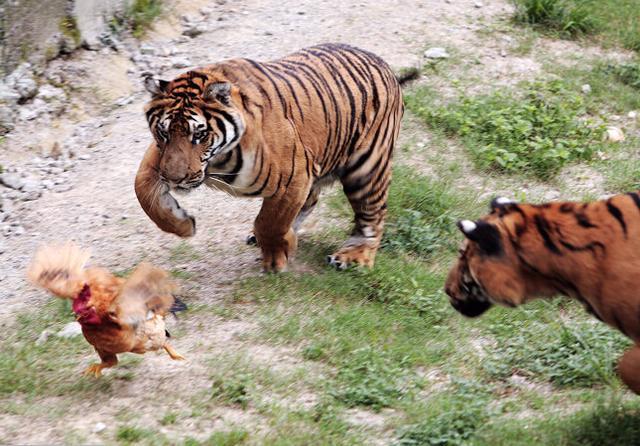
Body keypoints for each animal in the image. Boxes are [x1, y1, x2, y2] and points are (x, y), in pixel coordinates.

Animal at [135, 42, 420, 272]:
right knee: (312, 201)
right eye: (163, 133)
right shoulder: (159, 157)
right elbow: (142, 189)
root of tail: (386, 68)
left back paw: (353, 256)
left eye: (199, 135)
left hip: (367, 169)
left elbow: (270, 221)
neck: (216, 159)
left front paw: (278, 256)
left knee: (373, 215)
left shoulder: (294, 177)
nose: (175, 180)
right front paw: (183, 225)